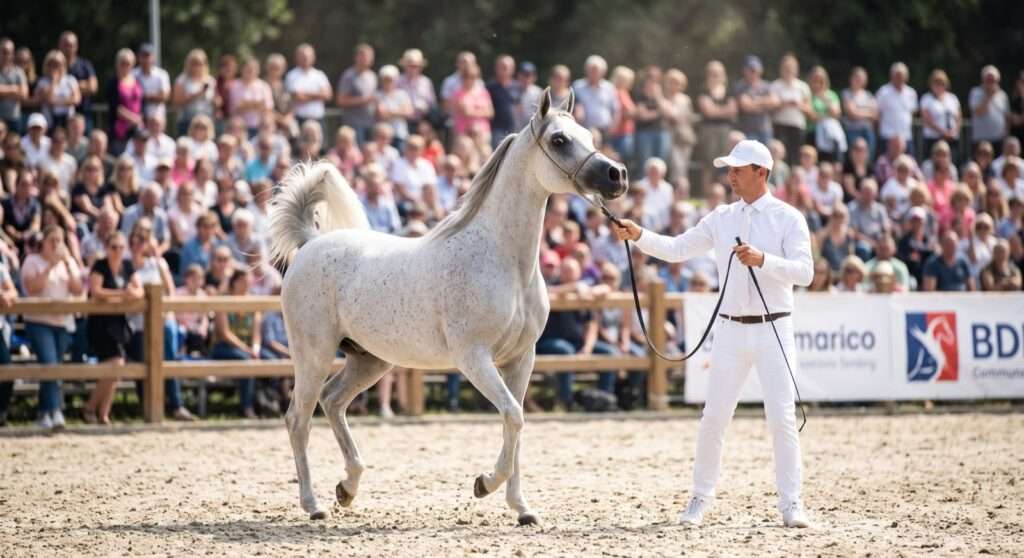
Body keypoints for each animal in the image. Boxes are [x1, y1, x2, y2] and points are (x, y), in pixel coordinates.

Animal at [267, 88, 628, 526]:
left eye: (588, 135)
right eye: (559, 140)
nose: (616, 175)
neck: (504, 260)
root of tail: (310, 242)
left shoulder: (521, 359)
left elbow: (515, 423)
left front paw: (522, 509)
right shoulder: (474, 358)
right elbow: (513, 416)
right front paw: (484, 484)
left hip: (370, 359)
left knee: (333, 401)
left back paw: (347, 488)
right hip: (314, 355)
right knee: (298, 419)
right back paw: (314, 504)